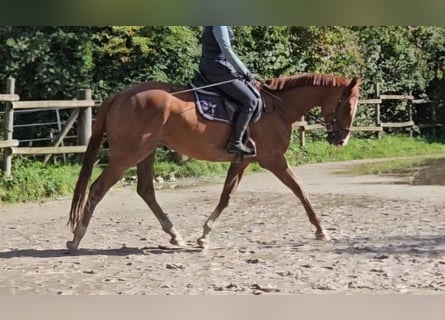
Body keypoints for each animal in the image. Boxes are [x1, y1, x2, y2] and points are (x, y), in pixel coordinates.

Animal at [67, 73, 362, 252]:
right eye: (348, 106)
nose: (342, 139)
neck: (277, 108)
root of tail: (120, 95)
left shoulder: (243, 161)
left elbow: (226, 196)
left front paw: (204, 235)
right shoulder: (273, 160)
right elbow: (300, 190)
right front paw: (321, 230)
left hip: (145, 153)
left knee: (145, 190)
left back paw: (175, 234)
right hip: (127, 154)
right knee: (97, 189)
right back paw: (76, 238)